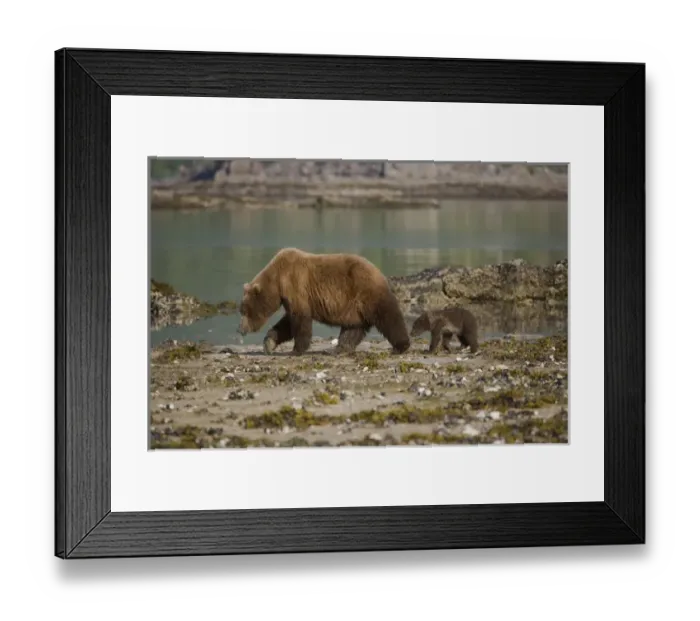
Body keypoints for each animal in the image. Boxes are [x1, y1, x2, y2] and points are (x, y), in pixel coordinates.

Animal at [237, 248, 411, 356]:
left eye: (245, 311)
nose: (240, 329)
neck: (278, 280)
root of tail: (378, 271)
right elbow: (286, 322)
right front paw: (269, 343)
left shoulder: (296, 286)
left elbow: (299, 320)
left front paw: (296, 349)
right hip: (353, 306)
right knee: (353, 327)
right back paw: (338, 349)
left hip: (367, 291)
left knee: (388, 316)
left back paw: (401, 346)